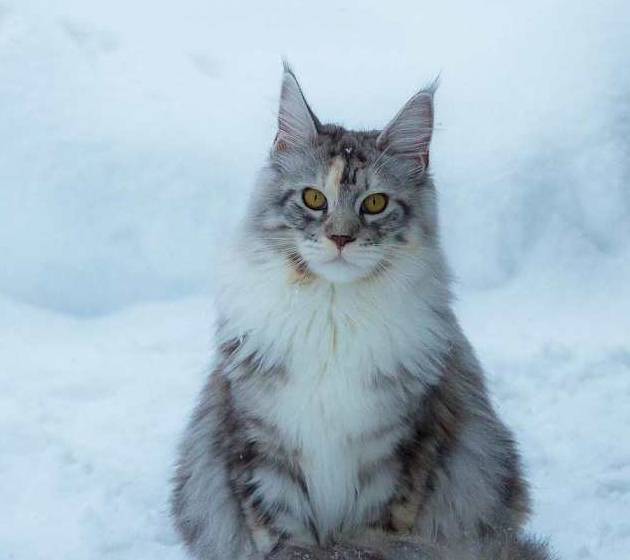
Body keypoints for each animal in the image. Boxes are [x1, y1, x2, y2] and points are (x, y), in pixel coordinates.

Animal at [172, 65, 552, 560]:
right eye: (314, 199)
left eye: (375, 203)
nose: (340, 237)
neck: (332, 317)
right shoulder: (259, 448)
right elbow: (280, 537)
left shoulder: (401, 454)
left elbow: (375, 534)